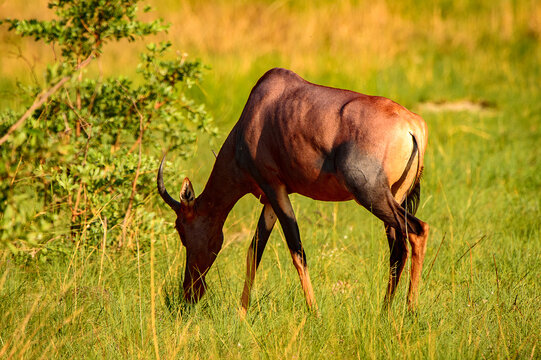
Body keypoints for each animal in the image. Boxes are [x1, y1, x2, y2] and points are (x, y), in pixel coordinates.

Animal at [155, 67, 426, 316]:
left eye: (181, 229)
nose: (190, 294)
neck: (258, 111)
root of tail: (412, 125)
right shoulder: (270, 199)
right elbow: (254, 251)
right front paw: (242, 313)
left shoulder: (275, 188)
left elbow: (296, 250)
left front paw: (314, 312)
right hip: (395, 196)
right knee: (397, 250)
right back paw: (385, 311)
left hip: (371, 195)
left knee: (418, 231)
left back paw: (411, 311)